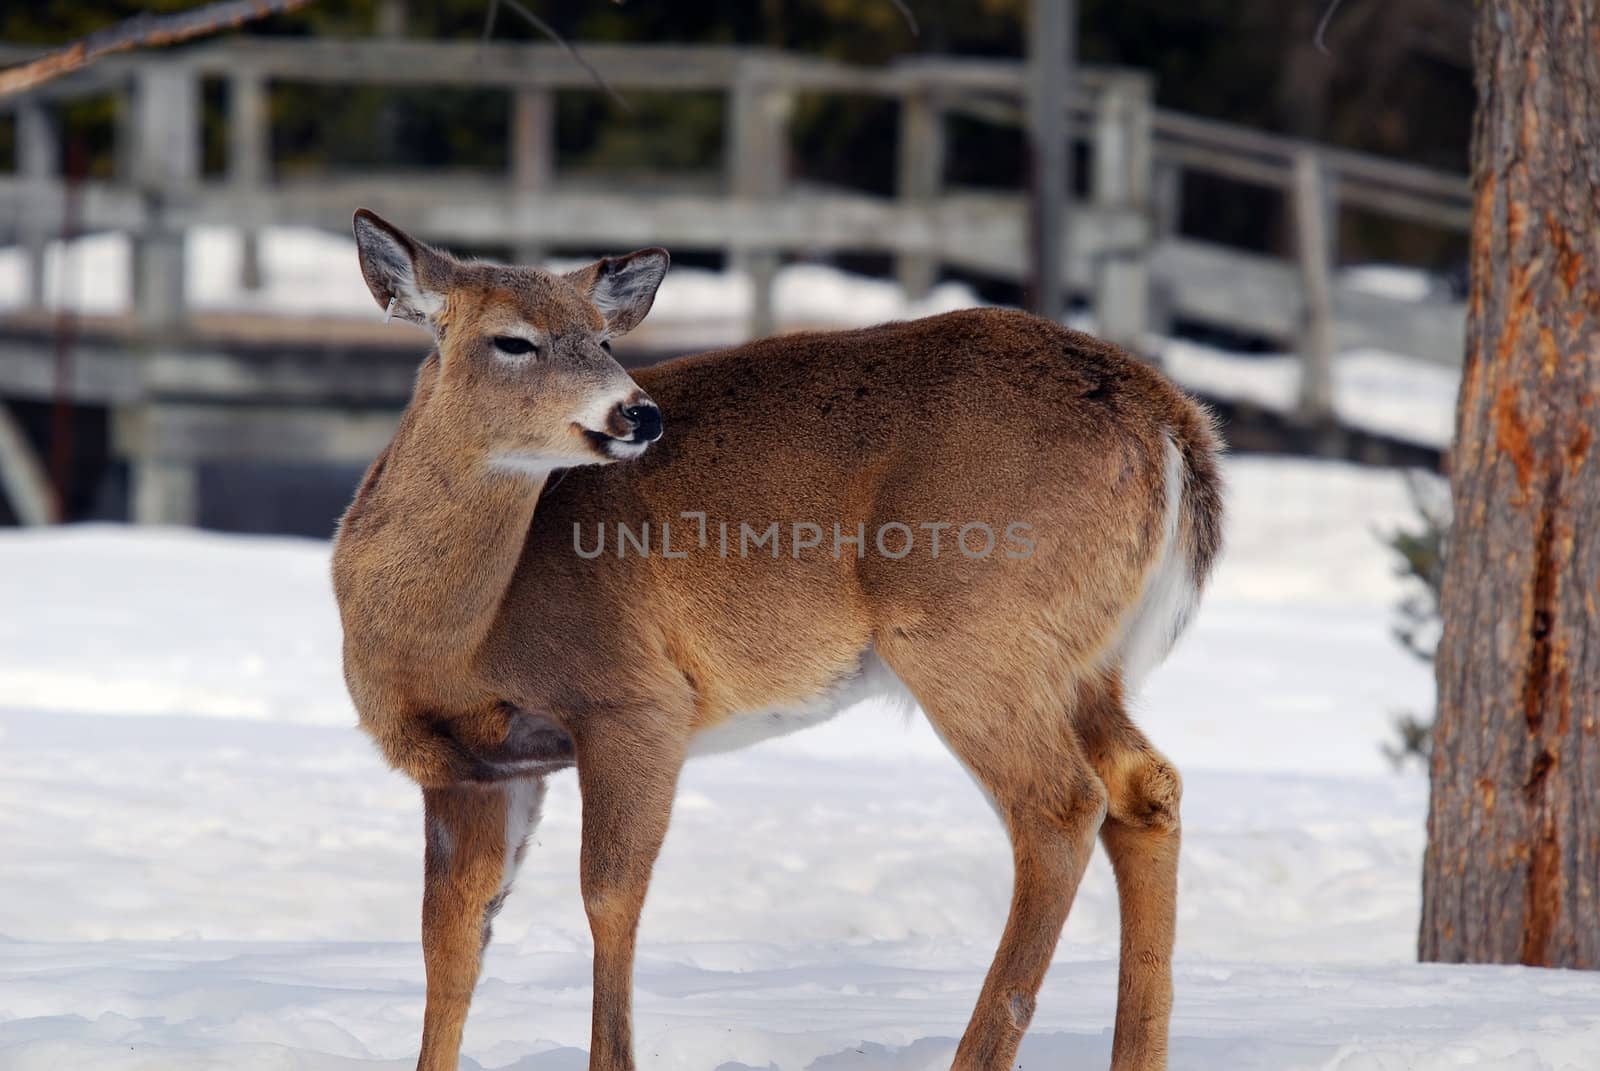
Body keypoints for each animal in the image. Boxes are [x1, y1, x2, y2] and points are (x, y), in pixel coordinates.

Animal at [331, 211, 1216, 1069]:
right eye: (512, 339)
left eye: (605, 338)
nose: (638, 412)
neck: (456, 639)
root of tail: (1170, 423)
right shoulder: (467, 767)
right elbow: (451, 935)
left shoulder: (634, 697)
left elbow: (609, 895)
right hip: (1084, 656)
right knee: (1145, 785)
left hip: (970, 628)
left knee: (1061, 804)